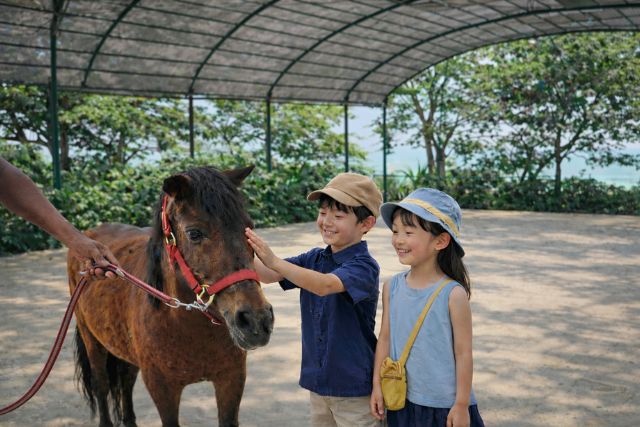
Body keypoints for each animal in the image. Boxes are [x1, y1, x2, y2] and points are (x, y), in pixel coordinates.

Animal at [67, 165, 274, 427]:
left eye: (249, 226)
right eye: (194, 233)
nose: (256, 321)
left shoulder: (232, 379)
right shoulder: (162, 388)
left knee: (125, 380)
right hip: (92, 341)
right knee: (101, 384)